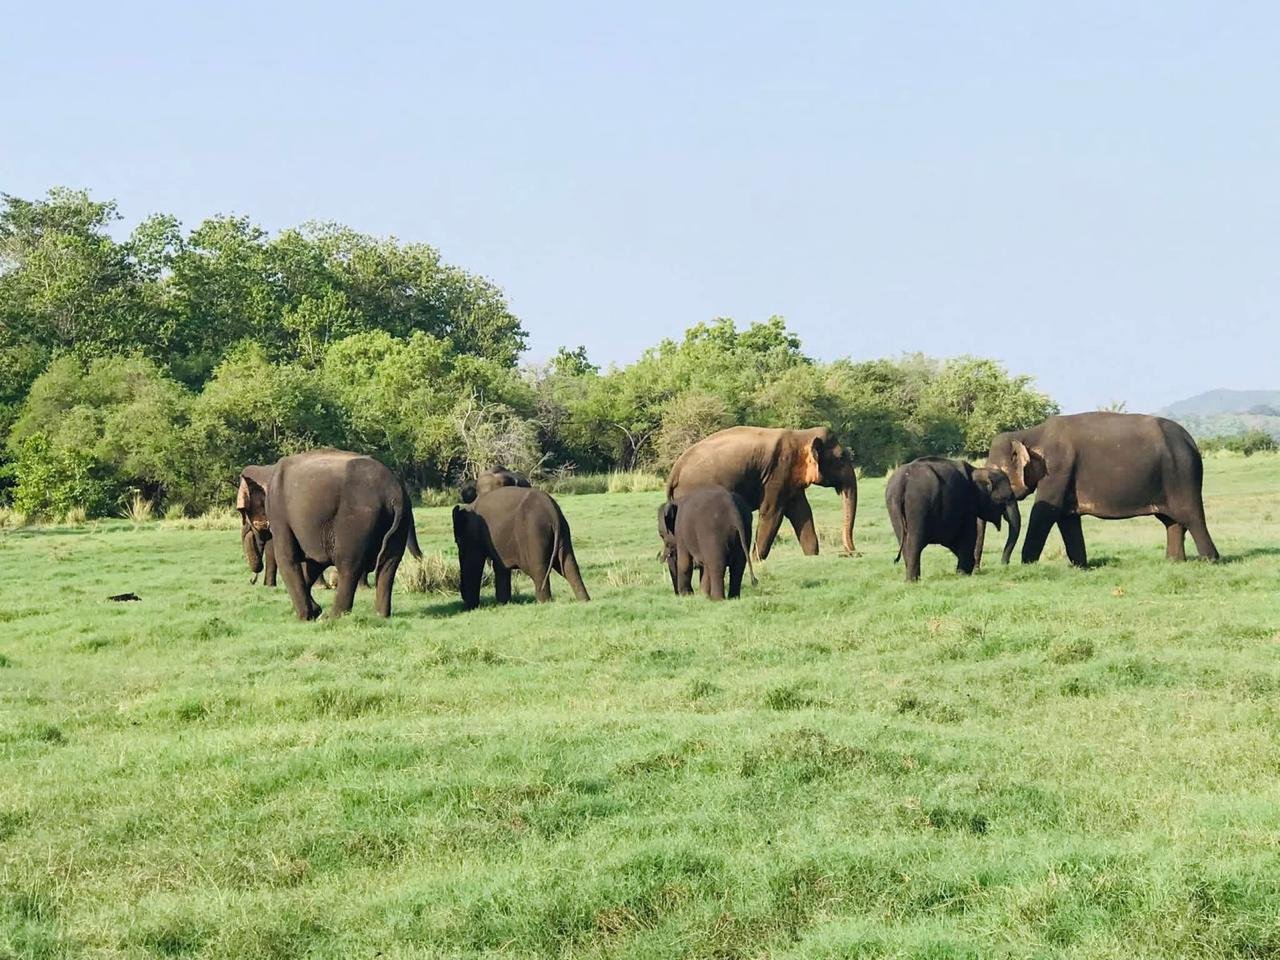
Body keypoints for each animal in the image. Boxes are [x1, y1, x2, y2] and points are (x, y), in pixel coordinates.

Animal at [237, 450, 422, 619]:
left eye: (243, 513)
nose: (252, 580)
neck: (267, 469)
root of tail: (393, 494)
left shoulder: (278, 512)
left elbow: (287, 558)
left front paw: (306, 616)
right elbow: (314, 564)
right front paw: (315, 610)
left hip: (356, 518)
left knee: (348, 564)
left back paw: (332, 617)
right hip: (402, 518)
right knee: (389, 563)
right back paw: (380, 615)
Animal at [452, 486, 590, 609]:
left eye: (458, 541)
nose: (463, 599)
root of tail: (552, 511)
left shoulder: (473, 534)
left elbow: (473, 564)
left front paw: (471, 607)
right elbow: (500, 566)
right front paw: (504, 604)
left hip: (534, 533)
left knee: (539, 570)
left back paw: (544, 603)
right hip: (563, 532)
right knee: (569, 565)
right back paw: (584, 601)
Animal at [666, 426, 858, 560]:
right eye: (841, 458)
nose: (851, 552)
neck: (800, 435)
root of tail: (675, 470)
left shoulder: (790, 479)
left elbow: (801, 512)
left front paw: (812, 556)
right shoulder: (778, 472)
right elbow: (772, 513)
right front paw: (757, 560)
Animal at [885, 458, 1019, 581]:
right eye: (1005, 498)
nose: (1004, 564)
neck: (977, 470)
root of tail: (903, 482)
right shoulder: (967, 505)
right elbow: (969, 535)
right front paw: (963, 573)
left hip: (893, 507)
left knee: (904, 542)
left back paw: (913, 579)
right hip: (917, 505)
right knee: (914, 543)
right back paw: (912, 581)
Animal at [983, 412, 1219, 567]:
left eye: (997, 478)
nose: (1004, 564)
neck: (1030, 434)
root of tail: (1191, 440)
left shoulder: (1057, 469)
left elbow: (1044, 513)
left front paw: (1028, 564)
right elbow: (1067, 519)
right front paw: (1080, 566)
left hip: (1182, 475)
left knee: (1192, 517)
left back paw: (1210, 561)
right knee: (1172, 521)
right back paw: (1174, 562)